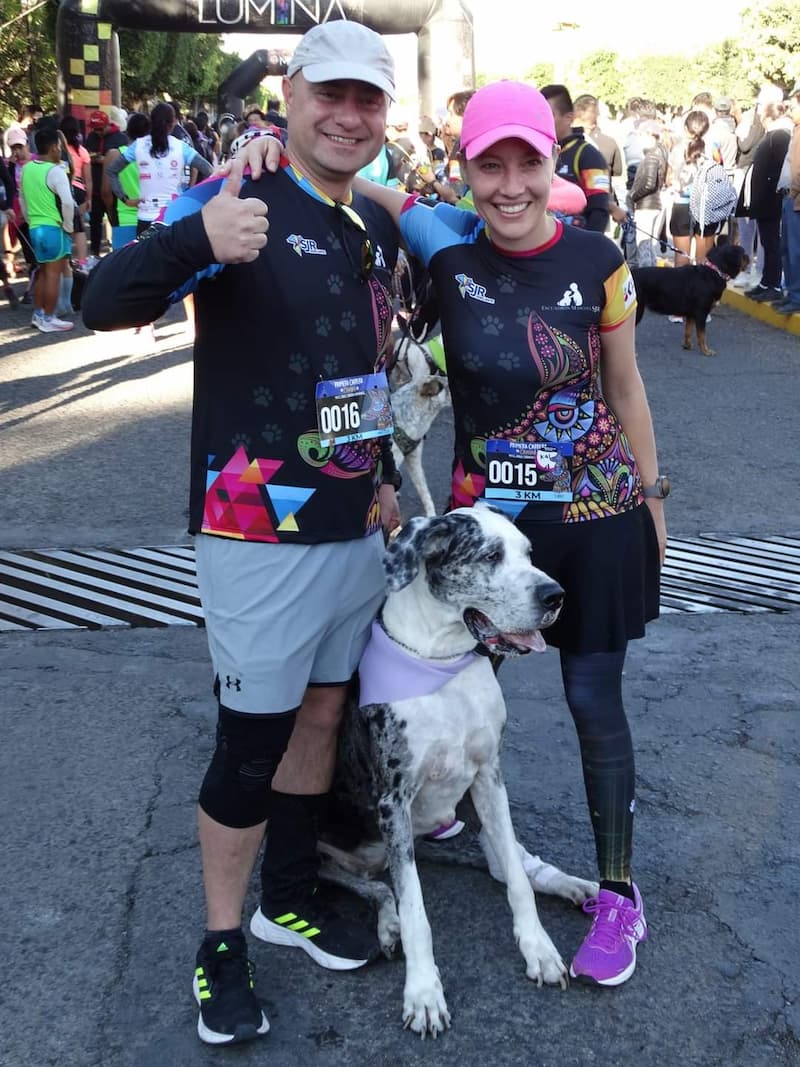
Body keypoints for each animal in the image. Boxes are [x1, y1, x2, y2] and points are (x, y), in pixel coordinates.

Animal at [320, 503, 601, 1037]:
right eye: (490, 556)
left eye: (529, 552)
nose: (555, 596)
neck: (441, 660)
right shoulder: (393, 802)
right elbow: (415, 908)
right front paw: (424, 992)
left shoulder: (490, 776)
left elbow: (516, 881)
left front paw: (538, 948)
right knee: (377, 885)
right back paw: (386, 921)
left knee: (504, 863)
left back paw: (569, 883)